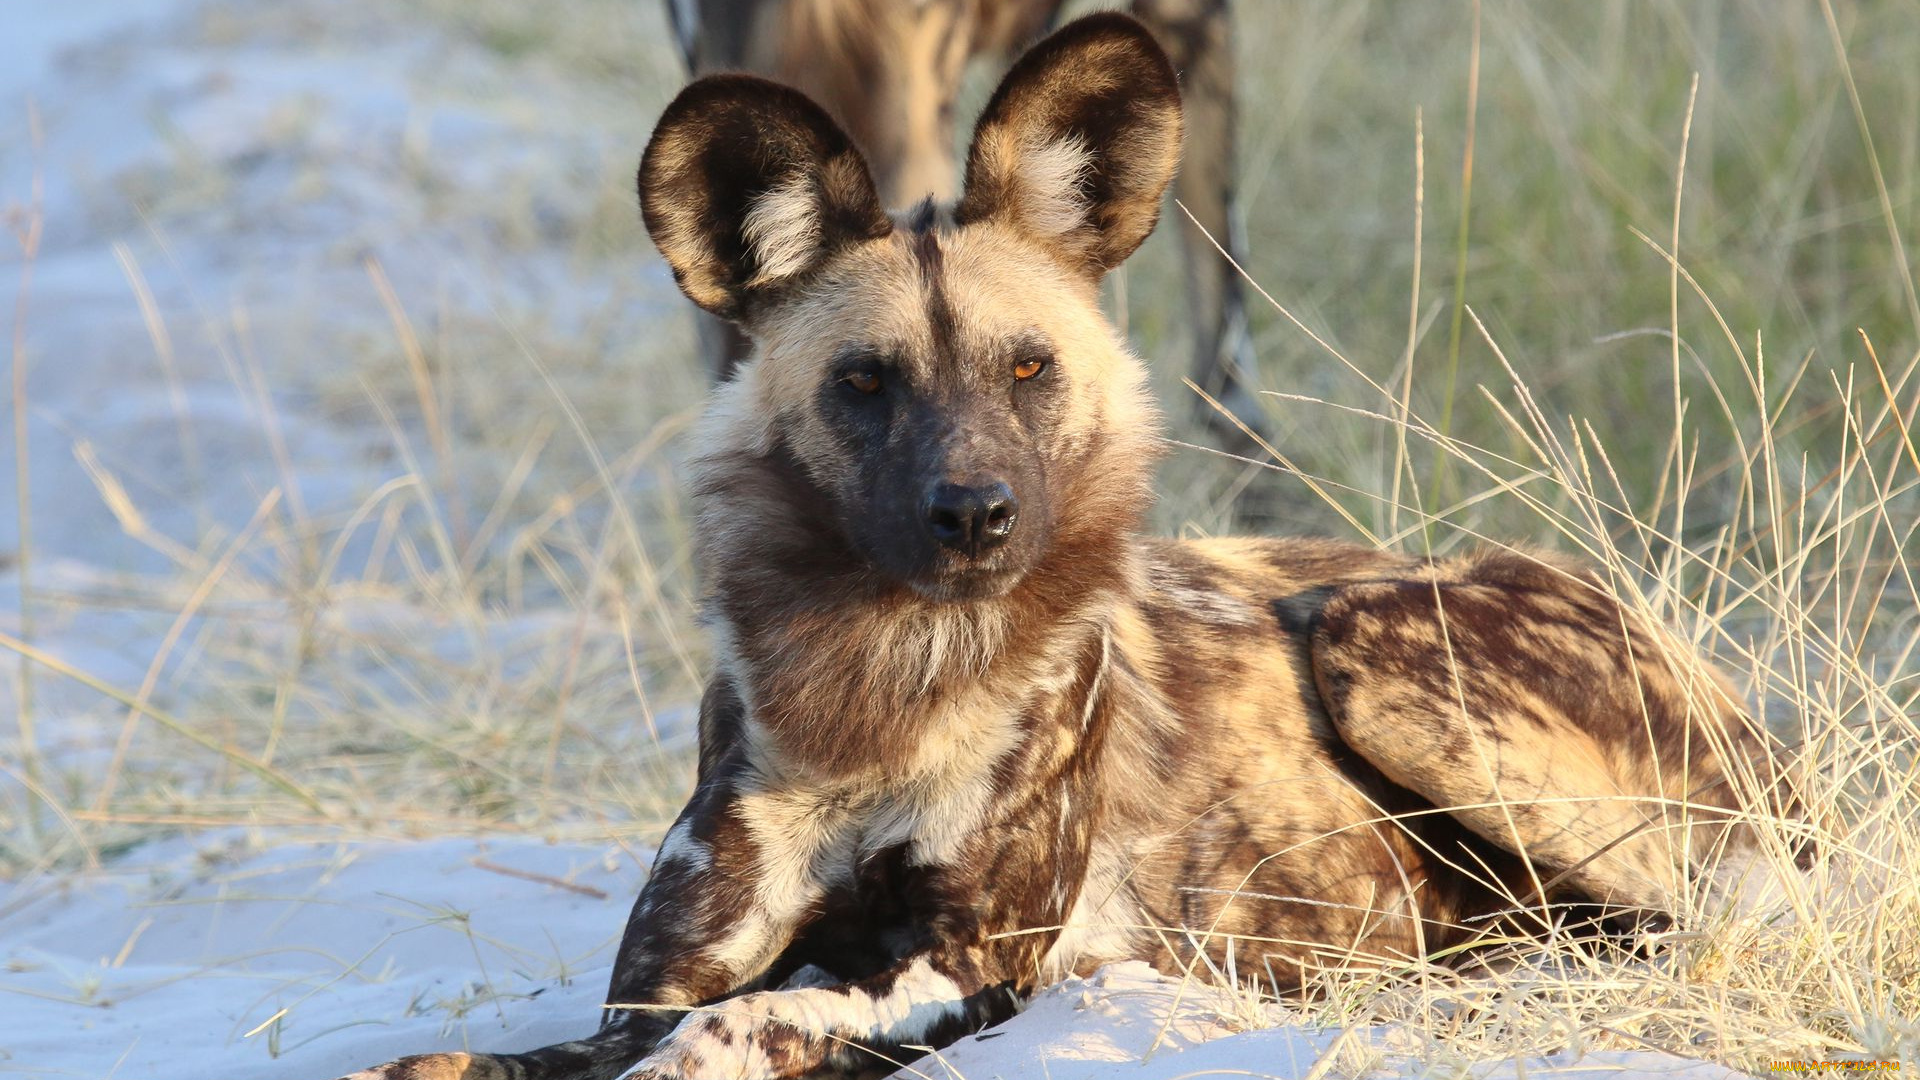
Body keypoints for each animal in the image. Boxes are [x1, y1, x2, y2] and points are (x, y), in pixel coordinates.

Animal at [337, 14, 1789, 1076]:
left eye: (1029, 368)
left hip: (1381, 645)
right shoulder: (644, 995)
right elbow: (481, 1058)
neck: (876, 691)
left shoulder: (972, 964)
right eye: (864, 382)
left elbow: (731, 1027)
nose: (975, 513)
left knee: (1681, 920)